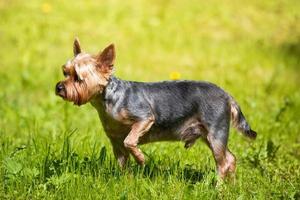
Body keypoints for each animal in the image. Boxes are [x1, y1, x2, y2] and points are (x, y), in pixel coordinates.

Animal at [55, 38, 256, 180]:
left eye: (78, 78)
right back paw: (232, 186)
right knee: (231, 159)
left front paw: (141, 158)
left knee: (223, 163)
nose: (58, 87)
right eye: (65, 72)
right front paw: (126, 182)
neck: (107, 100)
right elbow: (122, 162)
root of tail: (227, 95)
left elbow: (130, 140)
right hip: (208, 134)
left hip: (216, 131)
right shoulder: (115, 142)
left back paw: (219, 188)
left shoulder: (144, 118)